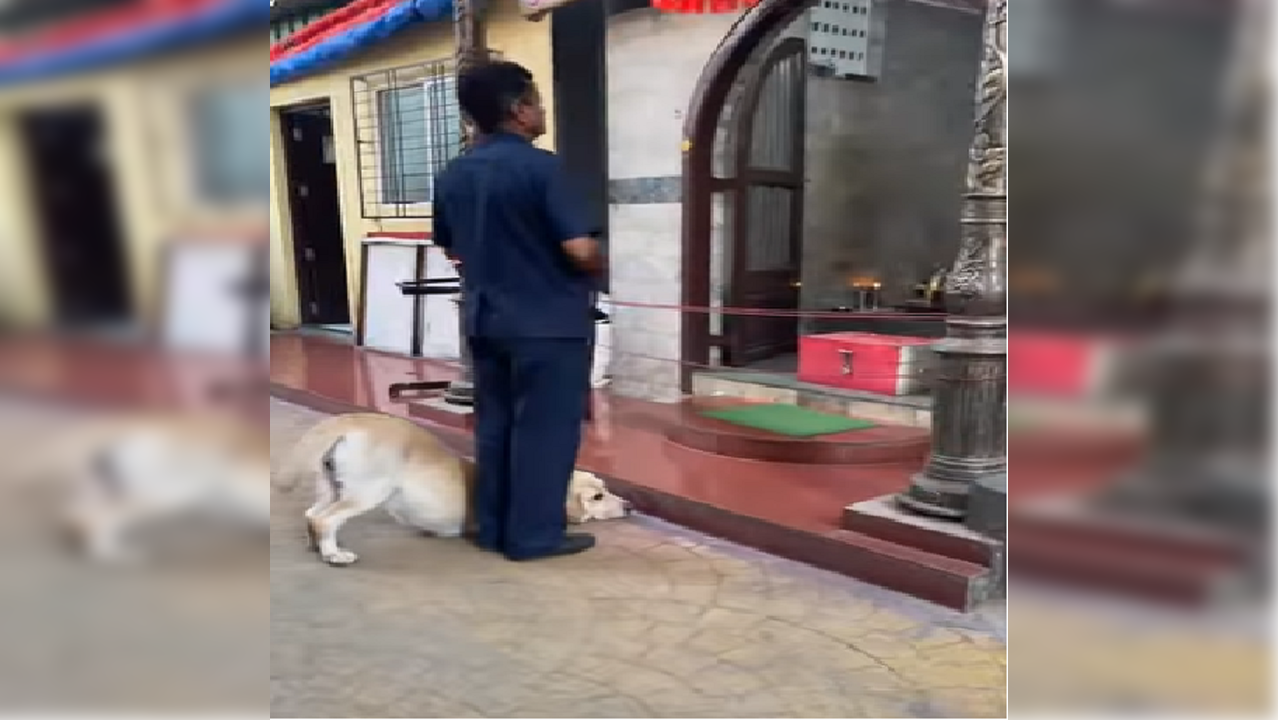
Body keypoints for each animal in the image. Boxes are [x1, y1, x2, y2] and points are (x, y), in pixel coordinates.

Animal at [279, 414, 628, 565]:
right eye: (597, 497)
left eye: (605, 487)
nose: (629, 506)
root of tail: (352, 420)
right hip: (368, 491)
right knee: (325, 519)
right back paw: (333, 554)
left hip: (333, 486)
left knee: (312, 514)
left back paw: (318, 545)